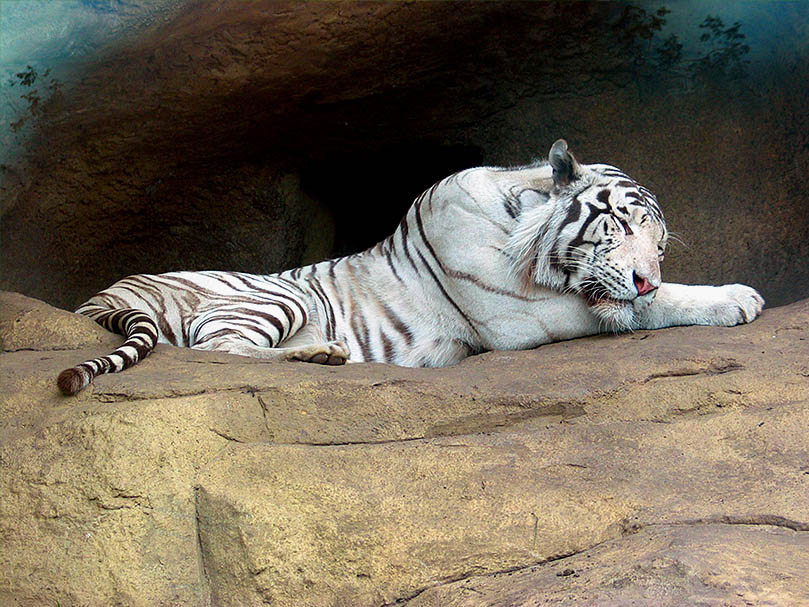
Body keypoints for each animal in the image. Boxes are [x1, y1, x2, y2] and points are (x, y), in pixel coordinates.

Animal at [57, 139, 764, 396]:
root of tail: (104, 292)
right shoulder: (520, 316)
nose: (645, 272)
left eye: (661, 246)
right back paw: (322, 355)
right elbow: (652, 305)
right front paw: (737, 297)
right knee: (219, 350)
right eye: (620, 227)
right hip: (274, 299)